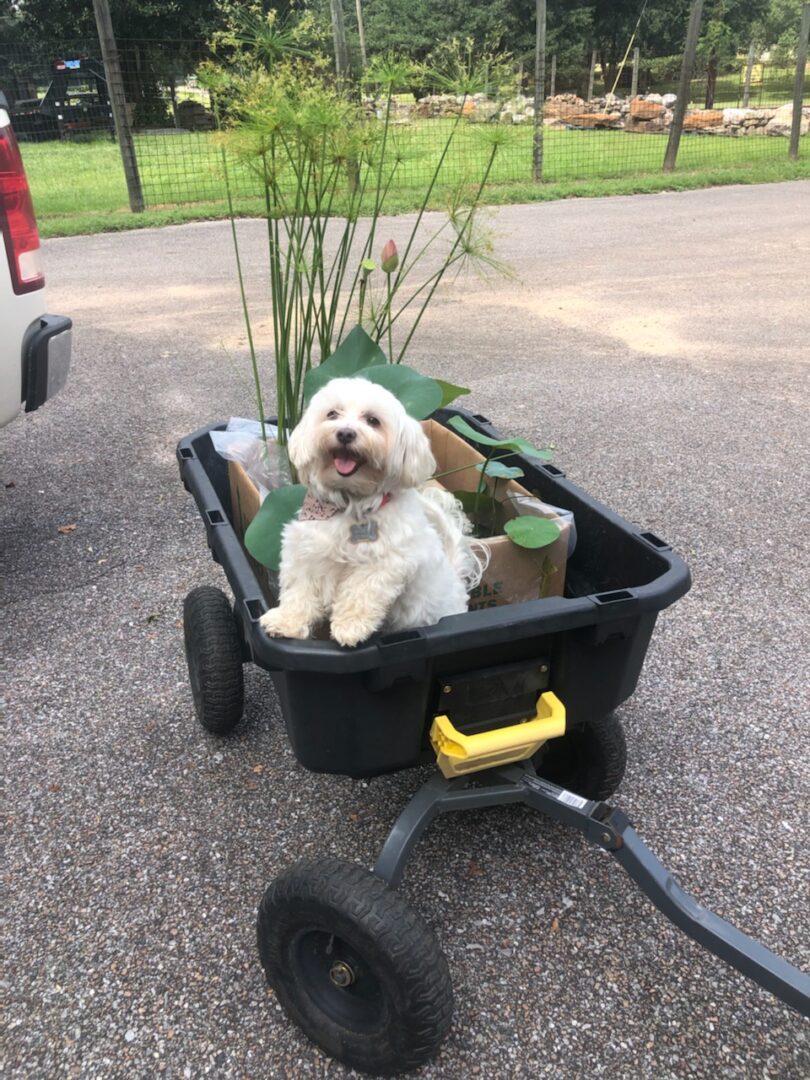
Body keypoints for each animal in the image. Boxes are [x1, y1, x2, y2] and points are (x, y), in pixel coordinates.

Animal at [260, 375, 486, 643]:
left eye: (373, 420)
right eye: (332, 414)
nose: (345, 433)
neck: (351, 504)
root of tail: (458, 582)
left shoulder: (386, 563)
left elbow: (361, 592)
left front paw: (350, 627)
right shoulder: (307, 552)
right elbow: (299, 592)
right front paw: (286, 621)